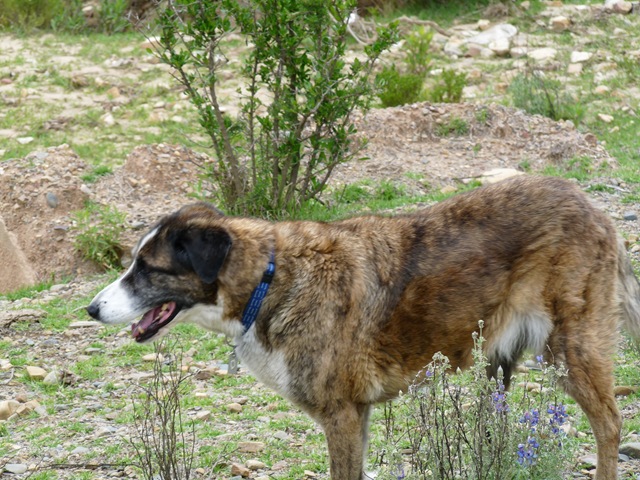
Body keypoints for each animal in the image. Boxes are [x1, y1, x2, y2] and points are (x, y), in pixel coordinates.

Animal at [87, 175, 640, 480]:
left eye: (148, 268)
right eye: (132, 262)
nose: (91, 309)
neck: (271, 276)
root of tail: (594, 209)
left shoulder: (342, 416)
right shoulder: (359, 416)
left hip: (571, 350)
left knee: (610, 424)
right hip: (501, 363)